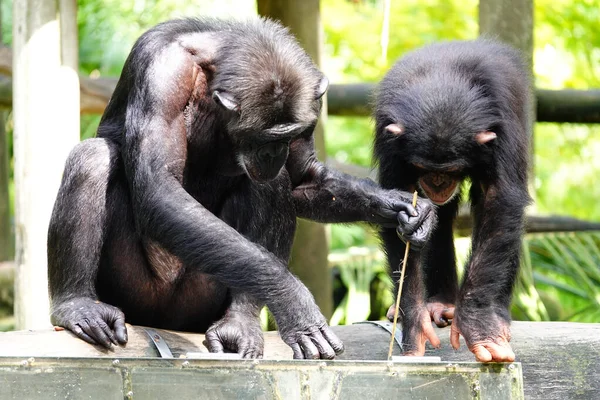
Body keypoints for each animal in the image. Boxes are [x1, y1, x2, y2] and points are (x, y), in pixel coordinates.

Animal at [44, 17, 434, 360]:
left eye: (293, 135)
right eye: (264, 138)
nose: (274, 154)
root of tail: (164, 322)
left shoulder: (311, 97)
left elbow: (303, 179)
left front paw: (403, 207)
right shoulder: (161, 74)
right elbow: (158, 185)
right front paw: (290, 296)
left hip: (202, 297)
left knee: (271, 185)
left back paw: (239, 323)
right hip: (135, 290)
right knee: (92, 157)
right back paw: (77, 305)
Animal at [376, 39, 528, 362]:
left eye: (451, 169)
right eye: (422, 166)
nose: (437, 181)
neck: (442, 82)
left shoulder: (504, 123)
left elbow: (499, 200)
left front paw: (479, 325)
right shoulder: (388, 134)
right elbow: (397, 205)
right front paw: (414, 322)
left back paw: (498, 315)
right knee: (441, 218)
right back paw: (439, 304)